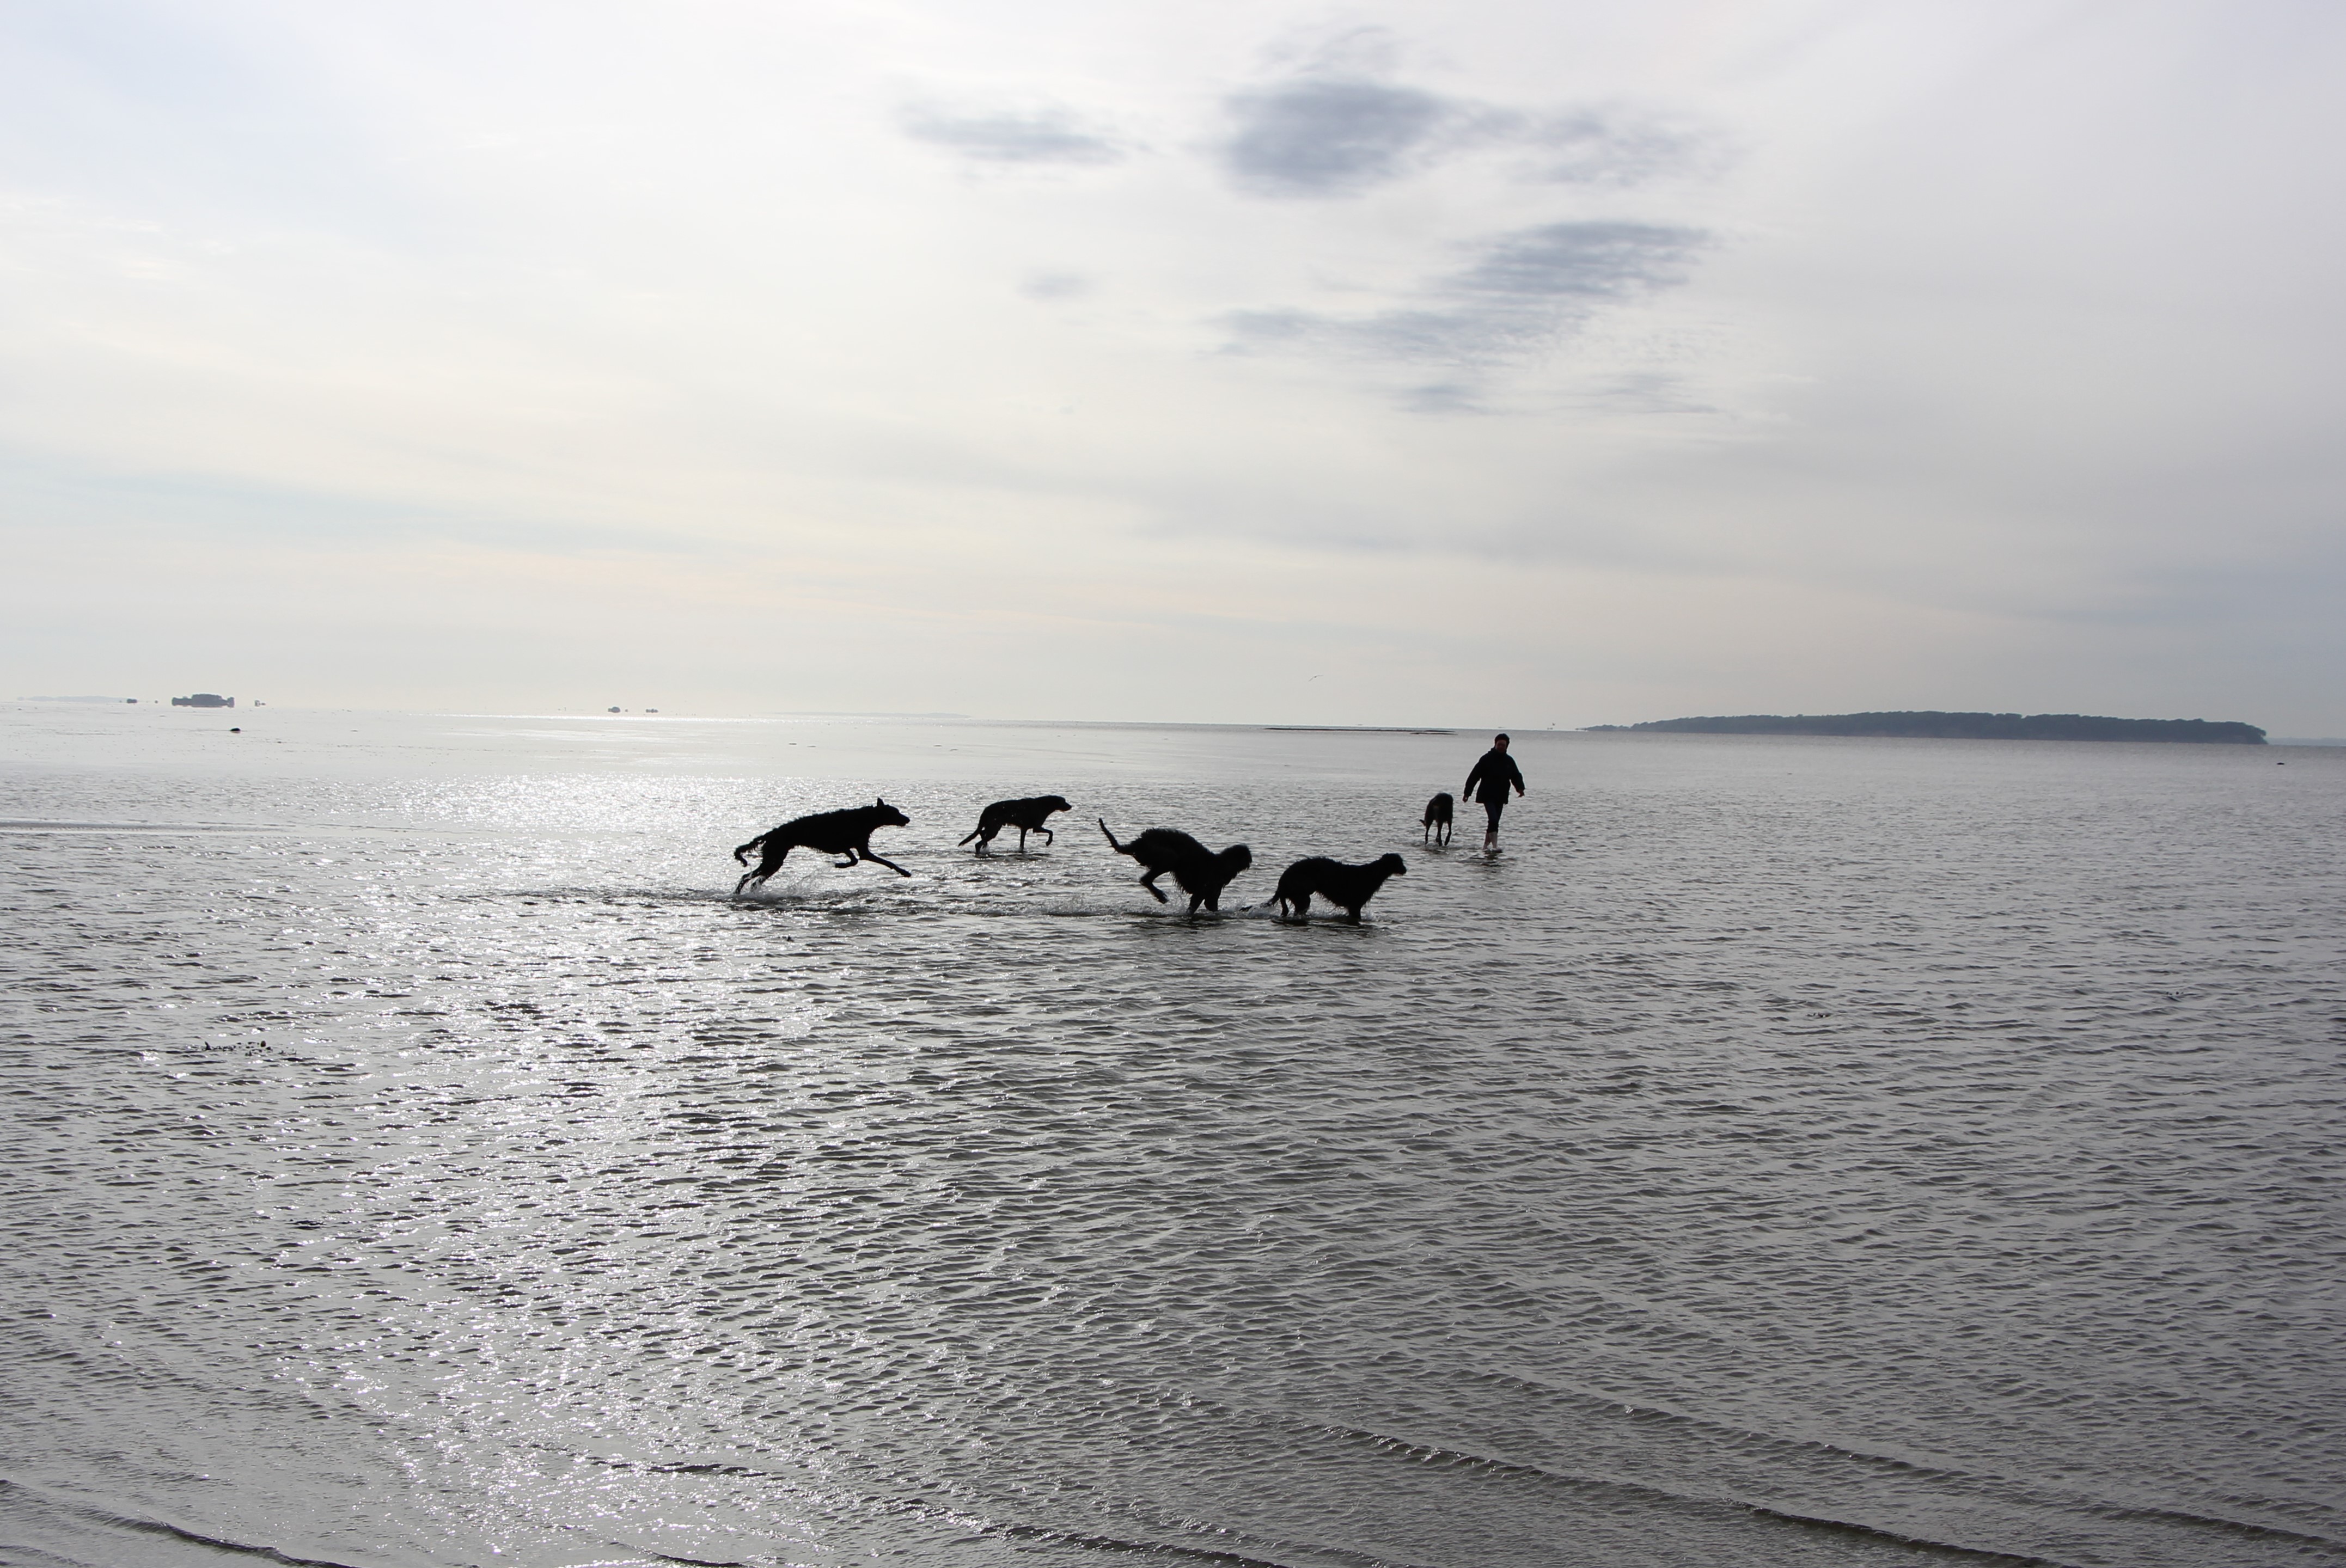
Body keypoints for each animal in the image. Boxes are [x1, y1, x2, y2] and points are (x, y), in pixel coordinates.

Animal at [732, 798, 912, 893]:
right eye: (895, 812)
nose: (908, 819)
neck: (865, 819)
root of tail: (770, 834)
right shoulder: (843, 847)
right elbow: (858, 860)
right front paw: (840, 865)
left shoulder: (859, 850)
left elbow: (874, 861)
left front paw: (904, 872)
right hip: (774, 859)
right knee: (746, 877)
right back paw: (738, 893)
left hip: (774, 862)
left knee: (754, 881)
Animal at [958, 794, 1072, 854]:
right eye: (1064, 801)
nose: (1071, 806)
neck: (1044, 805)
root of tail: (986, 810)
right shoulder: (1037, 827)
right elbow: (1051, 832)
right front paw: (1049, 842)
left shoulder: (1024, 829)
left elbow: (1022, 844)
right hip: (994, 828)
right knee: (978, 843)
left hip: (993, 826)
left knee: (982, 833)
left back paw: (985, 845)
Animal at [1097, 818, 1252, 916]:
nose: (1250, 863)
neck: (1221, 862)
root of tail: (1139, 842)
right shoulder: (1208, 885)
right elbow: (1201, 902)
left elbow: (1210, 904)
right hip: (1167, 856)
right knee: (1146, 879)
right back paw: (1161, 896)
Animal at [1266, 854, 1407, 924]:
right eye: (1398, 862)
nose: (1405, 870)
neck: (1371, 874)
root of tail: (1283, 880)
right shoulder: (1355, 907)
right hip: (1302, 895)